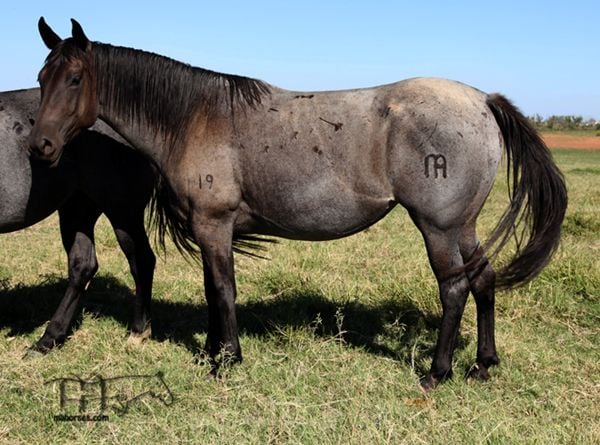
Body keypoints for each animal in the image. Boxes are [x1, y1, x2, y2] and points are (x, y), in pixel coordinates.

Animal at [25, 18, 564, 386]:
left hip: (438, 227)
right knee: (483, 279)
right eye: (41, 77)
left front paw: (227, 360)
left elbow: (223, 290)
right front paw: (215, 350)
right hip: (464, 225)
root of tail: (481, 100)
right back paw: (483, 364)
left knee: (454, 288)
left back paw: (437, 371)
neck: (193, 117)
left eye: (75, 79)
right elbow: (213, 290)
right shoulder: (209, 229)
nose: (40, 147)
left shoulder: (214, 224)